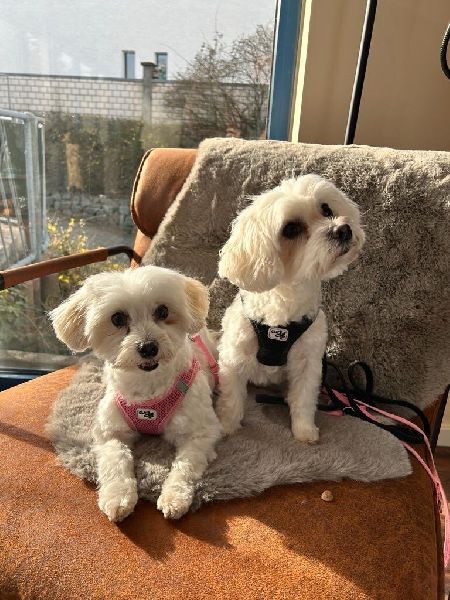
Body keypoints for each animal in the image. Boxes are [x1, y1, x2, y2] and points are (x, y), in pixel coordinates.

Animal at [51, 265, 222, 522]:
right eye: (117, 318)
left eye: (163, 311)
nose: (148, 347)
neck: (148, 390)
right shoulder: (110, 432)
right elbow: (116, 459)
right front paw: (117, 497)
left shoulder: (201, 432)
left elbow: (185, 465)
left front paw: (174, 497)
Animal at [215, 174, 365, 443]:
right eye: (291, 229)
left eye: (326, 209)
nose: (343, 229)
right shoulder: (234, 357)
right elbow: (231, 398)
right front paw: (227, 426)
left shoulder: (309, 362)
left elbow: (304, 399)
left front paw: (304, 430)